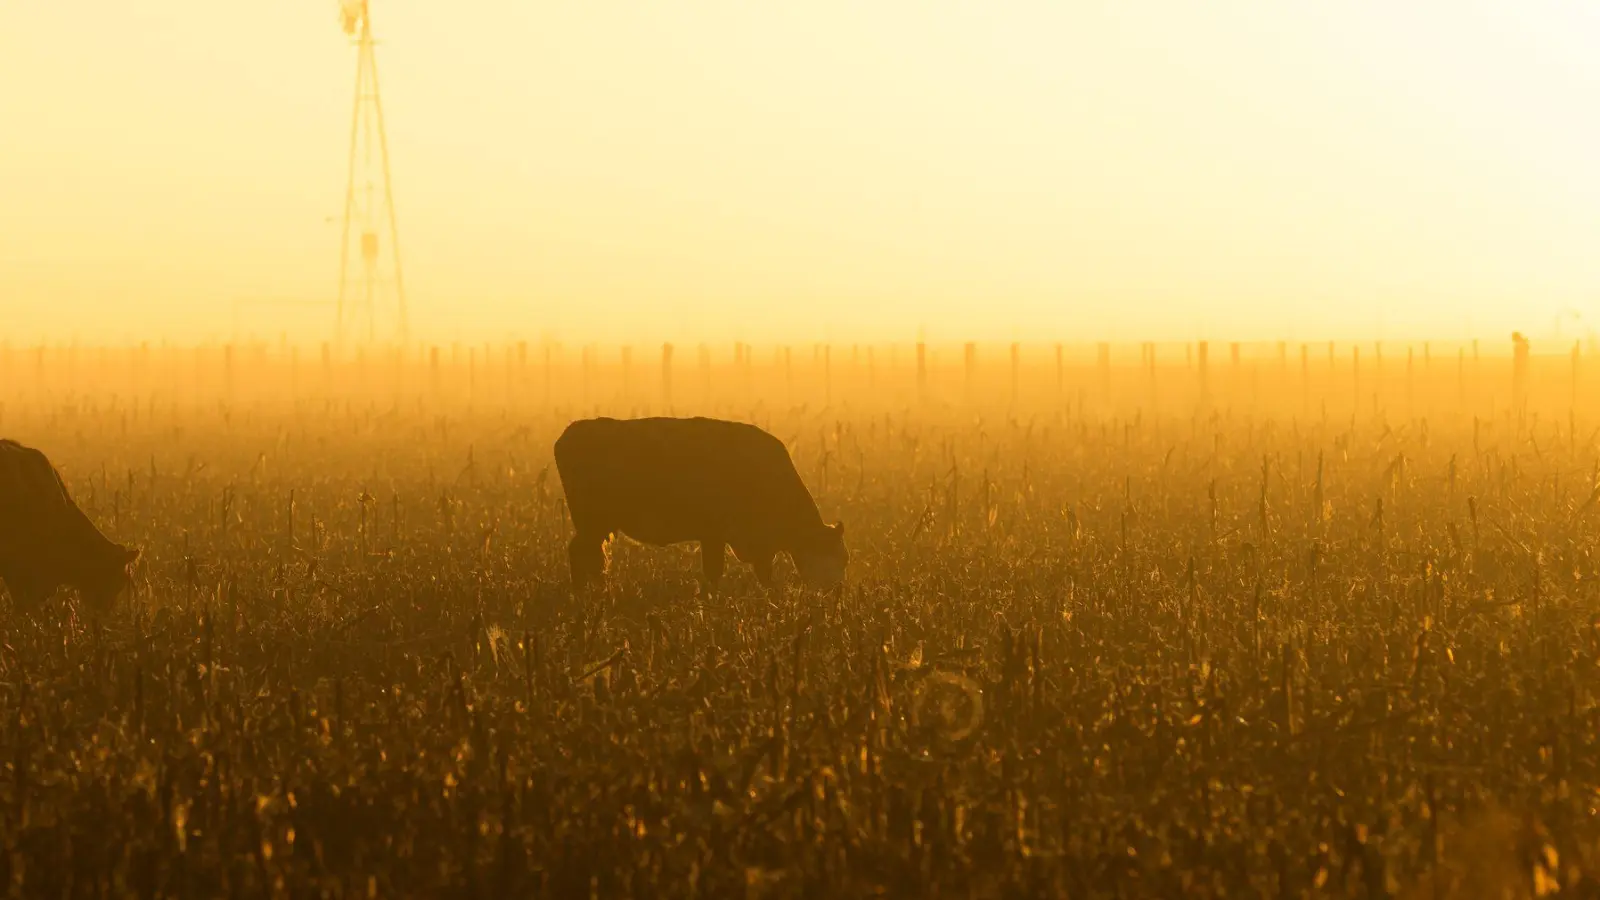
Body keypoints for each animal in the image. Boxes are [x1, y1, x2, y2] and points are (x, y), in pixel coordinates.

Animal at [553, 416, 851, 589]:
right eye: (838, 556)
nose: (835, 590)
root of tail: (569, 432)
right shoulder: (716, 536)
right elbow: (716, 571)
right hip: (592, 522)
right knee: (581, 554)